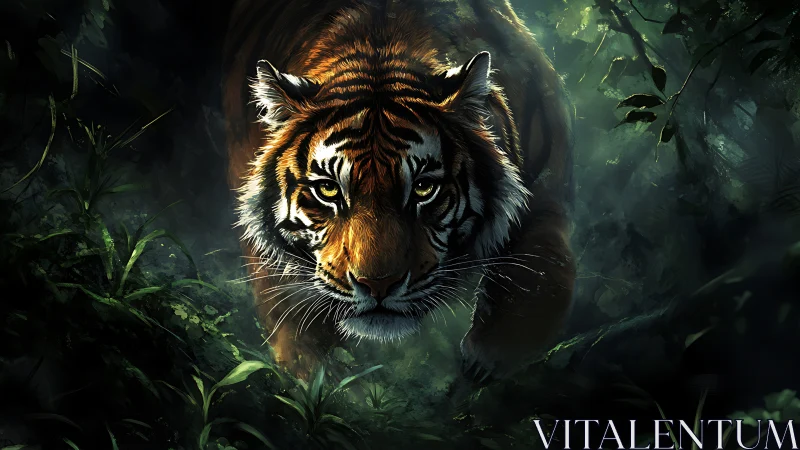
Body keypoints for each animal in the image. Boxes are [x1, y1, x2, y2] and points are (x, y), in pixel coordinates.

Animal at [222, 0, 575, 382]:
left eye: (423, 188)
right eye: (329, 190)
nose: (378, 285)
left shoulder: (544, 189)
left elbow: (538, 274)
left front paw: (489, 356)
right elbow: (296, 321)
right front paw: (330, 381)